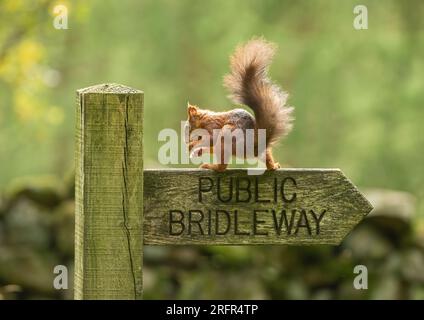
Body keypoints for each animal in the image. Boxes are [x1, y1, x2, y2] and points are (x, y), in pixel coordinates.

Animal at [186, 38, 294, 172]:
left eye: (188, 126)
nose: (186, 139)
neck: (205, 119)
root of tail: (253, 147)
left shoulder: (212, 126)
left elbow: (210, 139)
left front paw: (192, 145)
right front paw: (196, 149)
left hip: (227, 135)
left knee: (222, 165)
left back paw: (211, 166)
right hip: (260, 151)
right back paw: (273, 166)